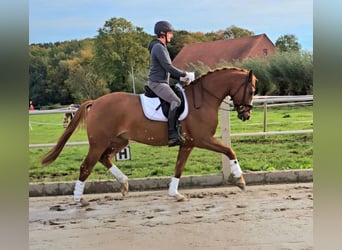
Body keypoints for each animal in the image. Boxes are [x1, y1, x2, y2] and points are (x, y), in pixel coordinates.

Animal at [40, 67, 256, 203]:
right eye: (252, 90)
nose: (246, 115)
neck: (203, 100)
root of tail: (96, 102)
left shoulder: (187, 143)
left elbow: (179, 167)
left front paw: (174, 193)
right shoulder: (202, 139)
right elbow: (229, 151)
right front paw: (240, 181)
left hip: (119, 141)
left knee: (105, 158)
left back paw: (124, 183)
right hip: (99, 143)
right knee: (86, 166)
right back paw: (78, 199)